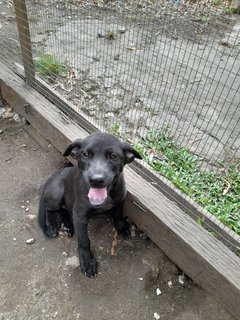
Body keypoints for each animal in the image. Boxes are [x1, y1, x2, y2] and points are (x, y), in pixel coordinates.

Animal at [38, 132, 142, 278]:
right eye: (85, 154)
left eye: (113, 156)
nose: (96, 180)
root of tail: (53, 176)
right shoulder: (80, 215)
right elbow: (83, 241)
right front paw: (87, 261)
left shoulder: (119, 200)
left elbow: (118, 214)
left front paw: (122, 227)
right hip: (57, 191)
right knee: (50, 209)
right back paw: (52, 225)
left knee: (66, 210)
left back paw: (68, 225)